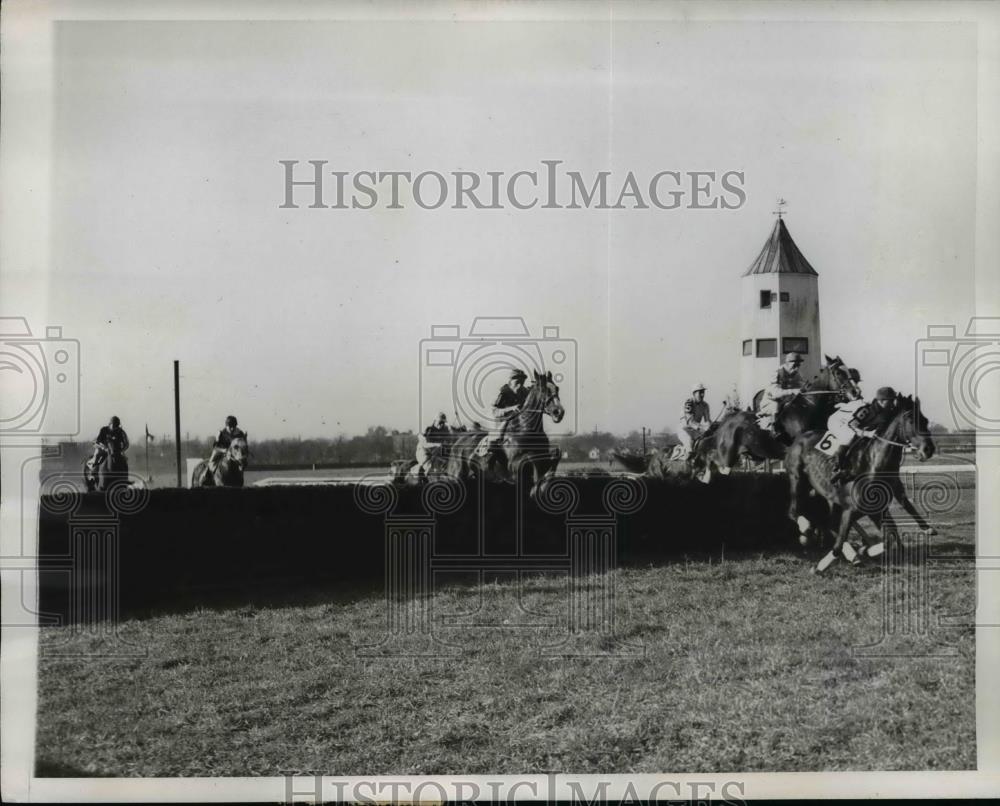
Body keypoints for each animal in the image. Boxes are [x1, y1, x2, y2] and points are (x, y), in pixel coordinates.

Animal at [788, 392, 936, 572]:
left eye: (925, 420)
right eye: (911, 420)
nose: (928, 449)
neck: (873, 464)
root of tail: (800, 436)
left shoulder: (878, 508)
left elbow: (891, 536)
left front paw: (866, 550)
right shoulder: (850, 510)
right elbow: (838, 544)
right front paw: (820, 567)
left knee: (827, 522)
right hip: (797, 479)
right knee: (793, 511)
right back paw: (806, 529)